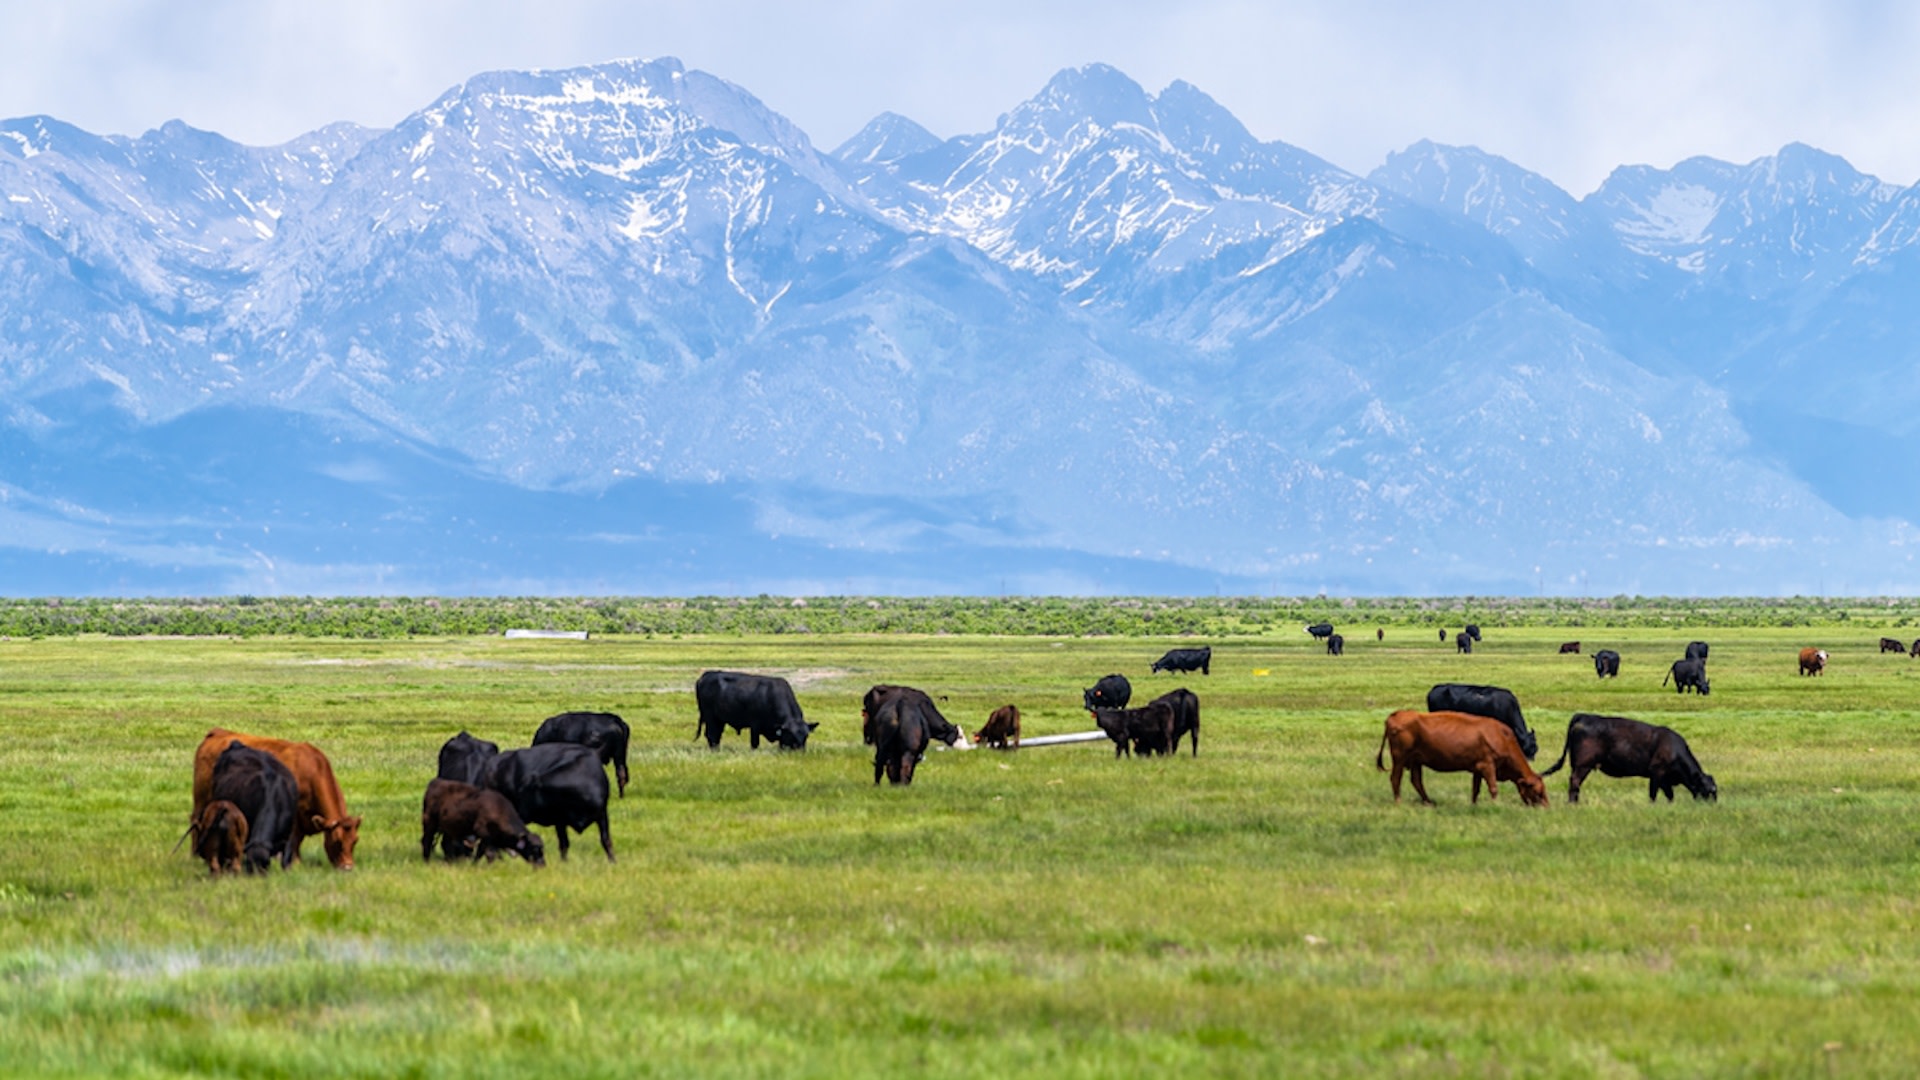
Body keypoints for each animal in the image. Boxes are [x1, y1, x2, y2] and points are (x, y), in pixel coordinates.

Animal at [481, 744, 614, 861]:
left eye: (525, 792)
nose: (518, 811)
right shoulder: (560, 819)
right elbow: (564, 844)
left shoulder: (601, 814)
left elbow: (605, 840)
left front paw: (612, 862)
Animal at [1374, 710, 1548, 807]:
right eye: (1537, 792)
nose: (1546, 807)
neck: (1503, 738)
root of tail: (1396, 714)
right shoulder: (1488, 766)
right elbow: (1493, 788)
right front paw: (1496, 805)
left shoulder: (1478, 768)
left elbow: (1475, 789)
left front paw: (1474, 805)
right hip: (1399, 758)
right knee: (1396, 778)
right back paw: (1398, 802)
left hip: (1416, 760)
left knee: (1416, 781)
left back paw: (1428, 802)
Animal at [1539, 713, 1717, 804]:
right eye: (1707, 791)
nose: (1712, 806)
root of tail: (1584, 716)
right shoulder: (1656, 773)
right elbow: (1653, 794)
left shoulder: (1665, 779)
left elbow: (1669, 796)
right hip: (1584, 764)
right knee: (1574, 781)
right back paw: (1573, 803)